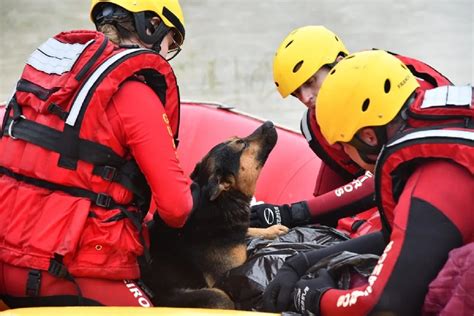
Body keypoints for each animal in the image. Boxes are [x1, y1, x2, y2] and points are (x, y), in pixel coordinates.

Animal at [144, 119, 278, 308]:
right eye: (242, 144)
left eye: (238, 138)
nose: (269, 123)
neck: (221, 201)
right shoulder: (228, 273)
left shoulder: (236, 232)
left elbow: (249, 230)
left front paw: (273, 230)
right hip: (214, 296)